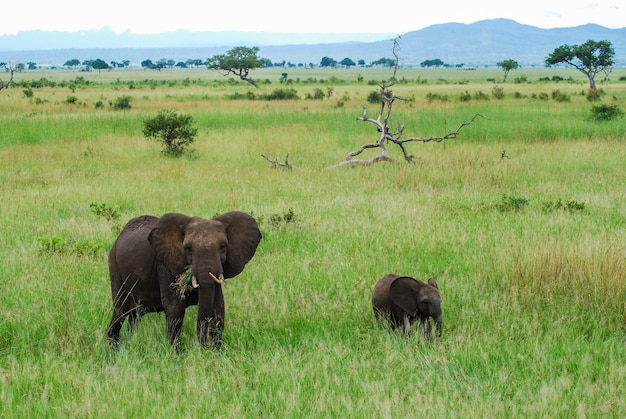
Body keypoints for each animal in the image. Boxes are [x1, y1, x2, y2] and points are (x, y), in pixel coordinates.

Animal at [107, 212, 260, 350]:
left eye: (223, 246)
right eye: (188, 248)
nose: (204, 346)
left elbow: (218, 308)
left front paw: (218, 353)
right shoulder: (166, 267)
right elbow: (175, 309)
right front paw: (175, 355)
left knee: (134, 315)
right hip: (114, 265)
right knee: (120, 311)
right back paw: (113, 350)